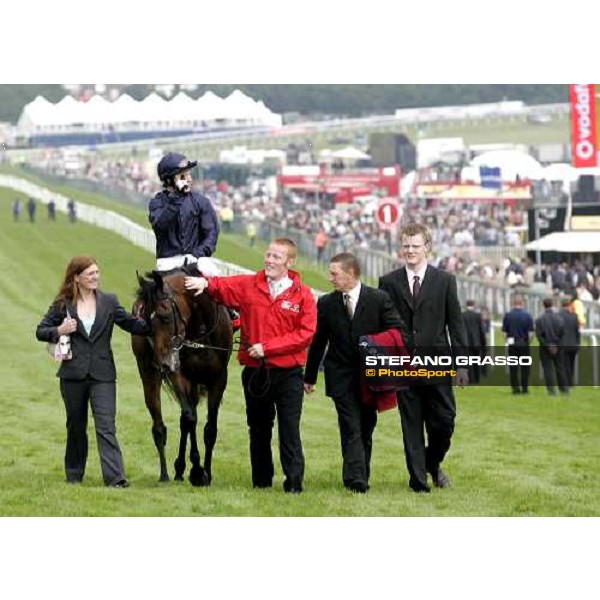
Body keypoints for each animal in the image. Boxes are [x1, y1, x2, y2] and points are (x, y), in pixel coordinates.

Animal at [131, 270, 232, 486]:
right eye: (146, 322)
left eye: (165, 316)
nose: (161, 363)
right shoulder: (179, 373)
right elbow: (190, 417)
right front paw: (197, 470)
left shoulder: (219, 377)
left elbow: (209, 429)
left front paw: (206, 473)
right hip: (149, 373)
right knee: (161, 425)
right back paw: (167, 473)